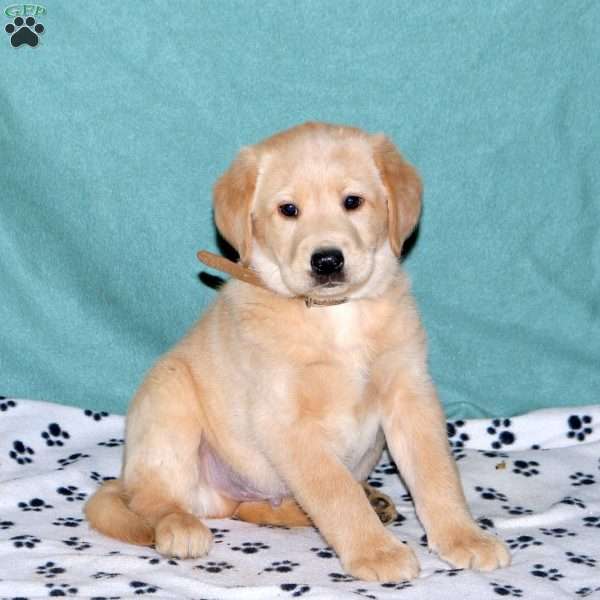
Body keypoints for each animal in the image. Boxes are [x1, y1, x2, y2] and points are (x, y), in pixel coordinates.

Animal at [84, 122, 506, 580]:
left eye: (352, 202)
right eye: (288, 210)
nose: (327, 261)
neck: (334, 315)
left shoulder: (409, 394)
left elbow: (436, 474)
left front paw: (464, 537)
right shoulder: (287, 422)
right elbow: (334, 491)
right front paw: (376, 552)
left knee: (253, 507)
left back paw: (365, 503)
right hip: (168, 405)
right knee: (155, 499)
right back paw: (178, 526)